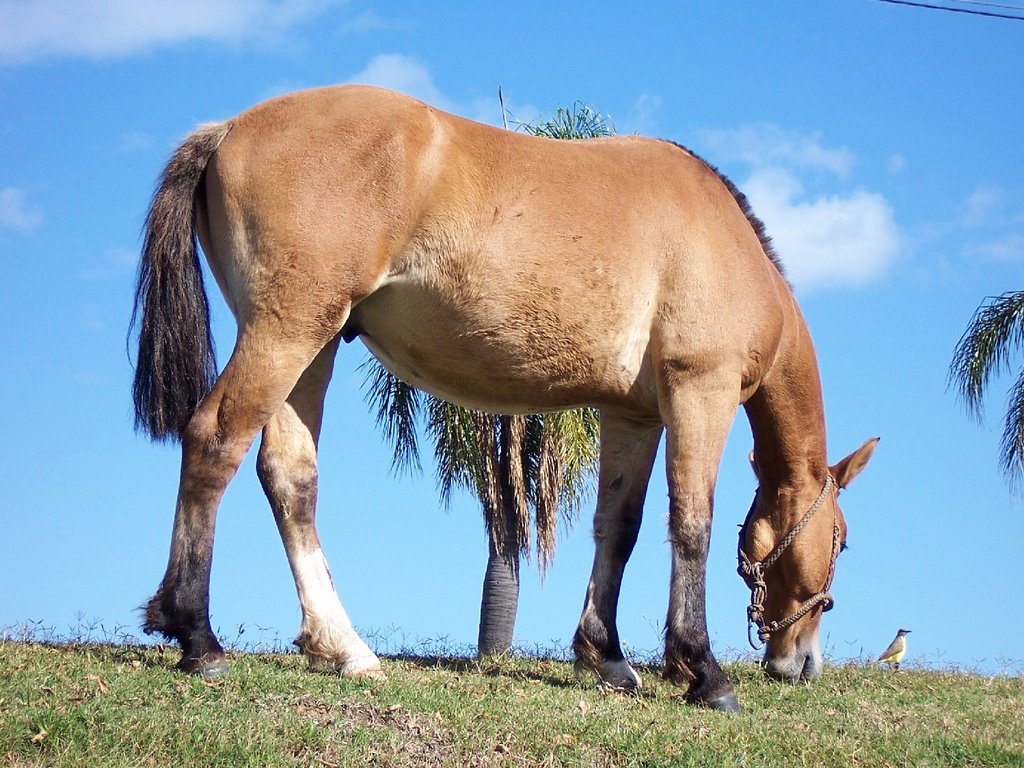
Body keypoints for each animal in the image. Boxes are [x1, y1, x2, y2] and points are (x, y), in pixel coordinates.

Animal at [132, 81, 876, 712]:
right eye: (840, 540)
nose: (802, 663)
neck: (722, 238)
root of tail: (230, 129)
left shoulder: (632, 415)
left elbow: (619, 527)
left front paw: (605, 658)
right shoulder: (701, 391)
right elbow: (691, 525)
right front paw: (704, 672)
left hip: (312, 344)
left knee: (289, 477)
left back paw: (342, 648)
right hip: (285, 331)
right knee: (214, 442)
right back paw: (197, 639)